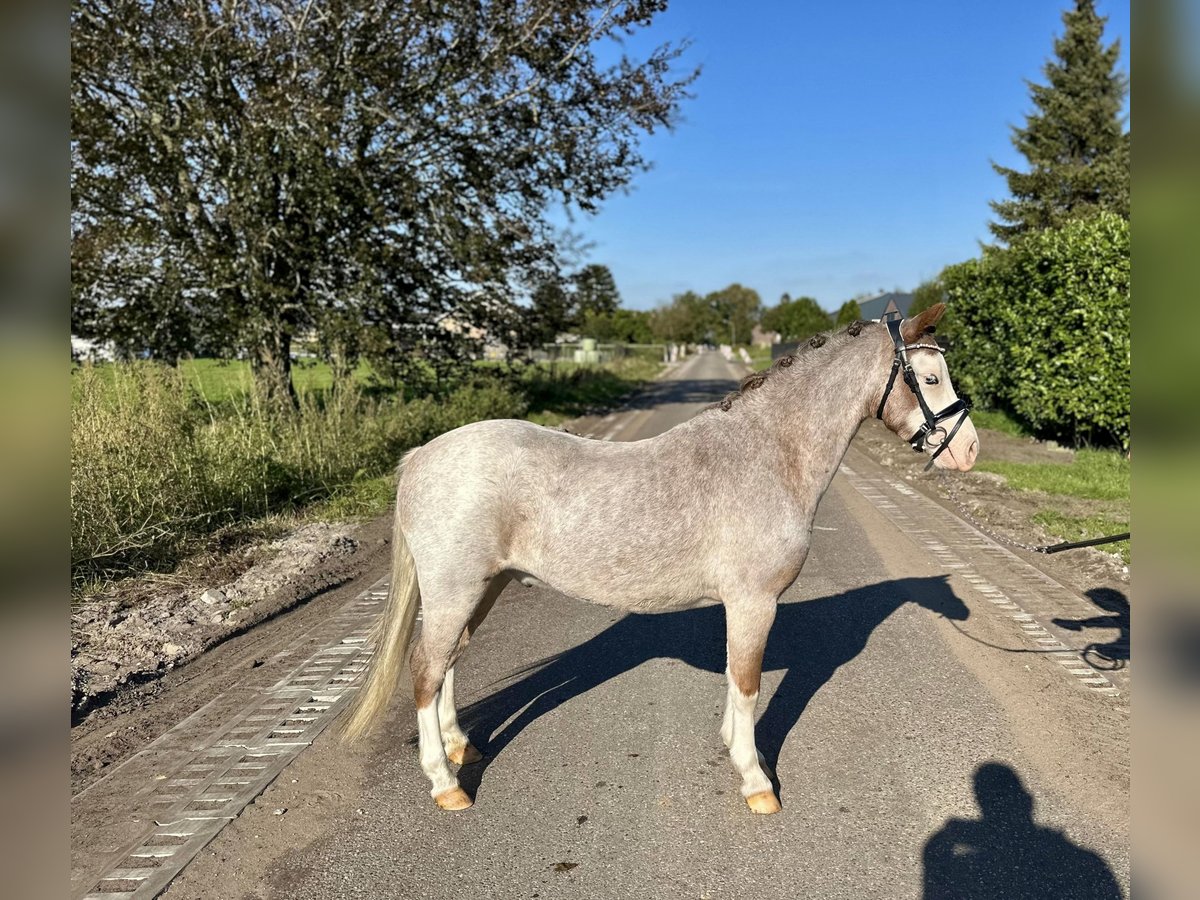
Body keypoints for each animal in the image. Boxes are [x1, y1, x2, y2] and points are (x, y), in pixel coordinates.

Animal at [345, 304, 974, 816]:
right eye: (931, 377)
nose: (967, 451)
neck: (770, 454)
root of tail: (421, 456)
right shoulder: (755, 603)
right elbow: (748, 685)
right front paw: (756, 783)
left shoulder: (742, 607)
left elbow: (736, 680)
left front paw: (733, 748)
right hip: (455, 589)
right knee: (425, 669)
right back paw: (445, 784)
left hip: (483, 586)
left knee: (448, 661)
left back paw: (461, 748)